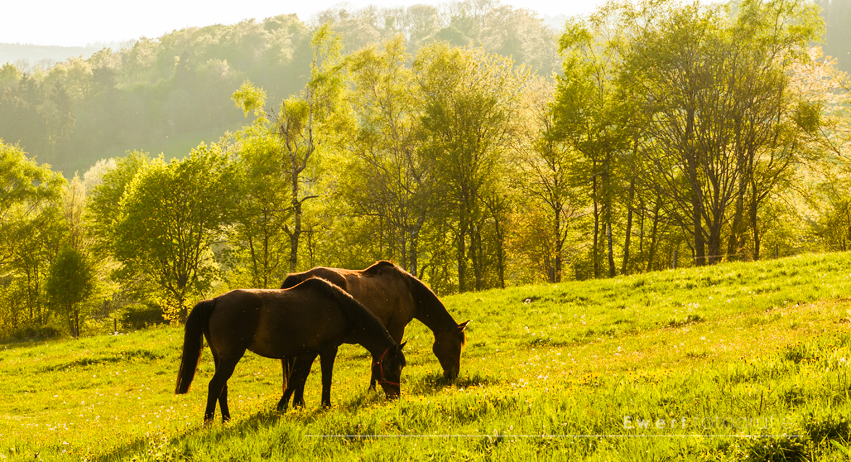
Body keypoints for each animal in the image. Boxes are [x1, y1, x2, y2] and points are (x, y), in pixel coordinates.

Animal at [173, 276, 406, 424]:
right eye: (391, 367)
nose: (395, 397)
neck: (339, 307)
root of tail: (214, 301)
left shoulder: (308, 352)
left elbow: (296, 379)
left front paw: (285, 406)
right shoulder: (328, 349)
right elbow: (325, 378)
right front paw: (325, 405)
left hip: (221, 357)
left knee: (222, 387)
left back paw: (226, 419)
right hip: (231, 357)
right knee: (215, 385)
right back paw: (208, 421)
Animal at [278, 262, 466, 406]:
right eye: (455, 347)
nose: (452, 375)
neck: (407, 288)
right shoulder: (396, 330)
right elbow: (379, 361)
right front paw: (373, 388)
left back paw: (298, 402)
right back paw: (298, 402)